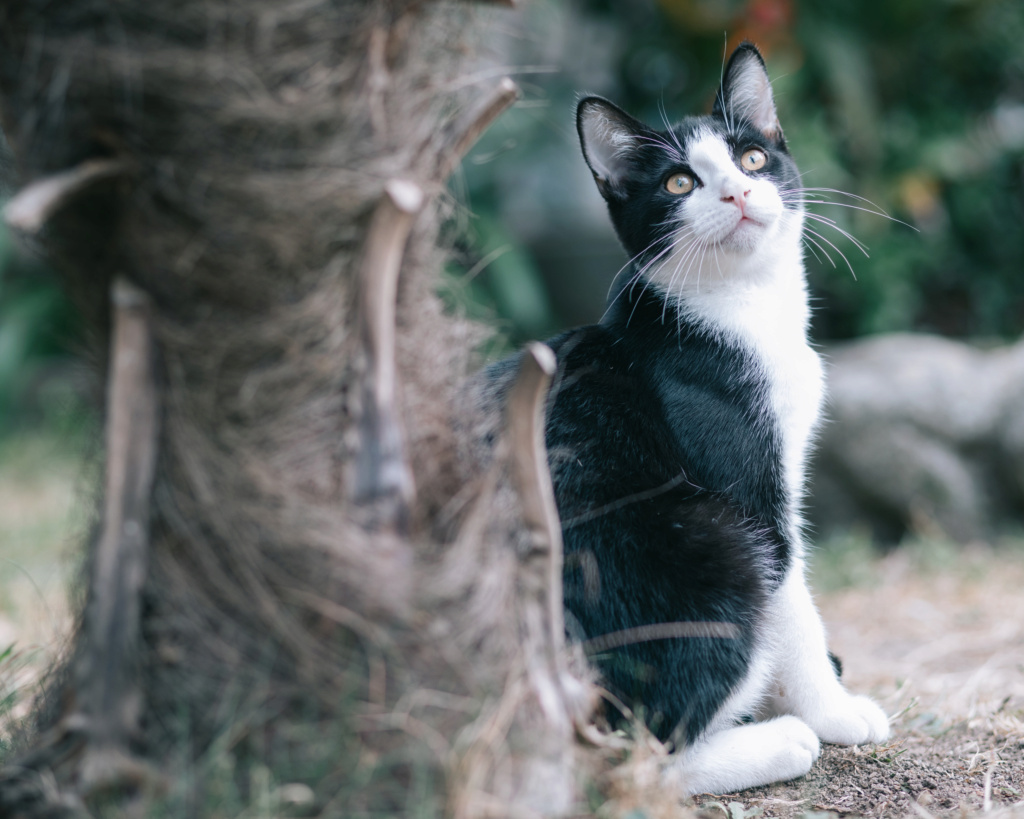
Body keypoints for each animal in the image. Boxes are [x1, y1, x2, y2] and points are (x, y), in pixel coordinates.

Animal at [479, 43, 888, 794]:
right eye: (677, 183)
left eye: (752, 158)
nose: (736, 193)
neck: (740, 311)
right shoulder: (748, 482)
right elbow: (793, 602)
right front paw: (834, 710)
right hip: (709, 546)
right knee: (634, 755)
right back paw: (778, 739)